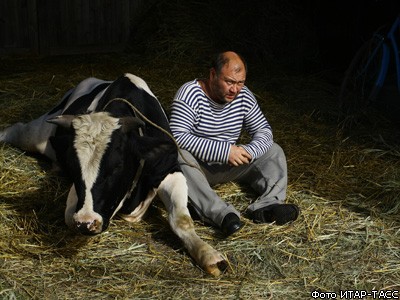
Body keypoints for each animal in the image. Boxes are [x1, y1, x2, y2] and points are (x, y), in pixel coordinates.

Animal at [0, 73, 228, 276]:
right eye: (74, 166)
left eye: (117, 166)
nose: (86, 221)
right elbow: (69, 216)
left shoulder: (171, 170)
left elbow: (182, 220)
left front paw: (208, 254)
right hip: (37, 135)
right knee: (17, 129)